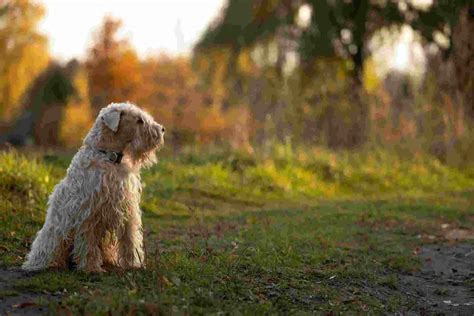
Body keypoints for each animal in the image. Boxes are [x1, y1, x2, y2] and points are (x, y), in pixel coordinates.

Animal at [22, 102, 165, 272]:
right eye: (139, 120)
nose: (162, 129)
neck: (109, 156)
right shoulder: (89, 211)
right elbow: (88, 242)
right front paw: (91, 268)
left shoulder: (127, 208)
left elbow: (130, 238)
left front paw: (133, 263)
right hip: (55, 235)